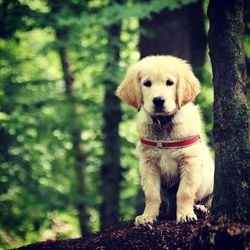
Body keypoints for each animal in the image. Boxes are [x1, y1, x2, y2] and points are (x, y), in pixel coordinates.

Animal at [116, 55, 214, 224]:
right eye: (147, 83)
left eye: (169, 82)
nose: (158, 100)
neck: (164, 124)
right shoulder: (149, 164)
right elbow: (152, 195)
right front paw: (148, 216)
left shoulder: (190, 161)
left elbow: (184, 192)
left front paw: (185, 214)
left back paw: (201, 208)